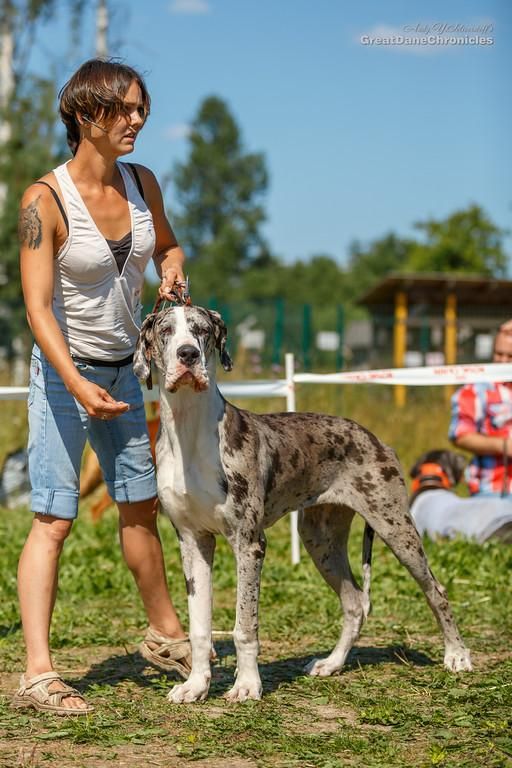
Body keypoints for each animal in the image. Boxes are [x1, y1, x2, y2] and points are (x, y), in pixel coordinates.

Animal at [133, 305, 472, 703]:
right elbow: (200, 627)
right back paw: (332, 663)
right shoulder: (193, 542)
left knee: (436, 591)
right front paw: (196, 685)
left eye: (201, 330)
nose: (187, 354)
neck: (190, 433)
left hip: (396, 527)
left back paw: (457, 656)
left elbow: (244, 626)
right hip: (319, 539)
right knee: (355, 603)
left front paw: (247, 685)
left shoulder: (249, 544)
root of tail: (376, 439)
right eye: (166, 331)